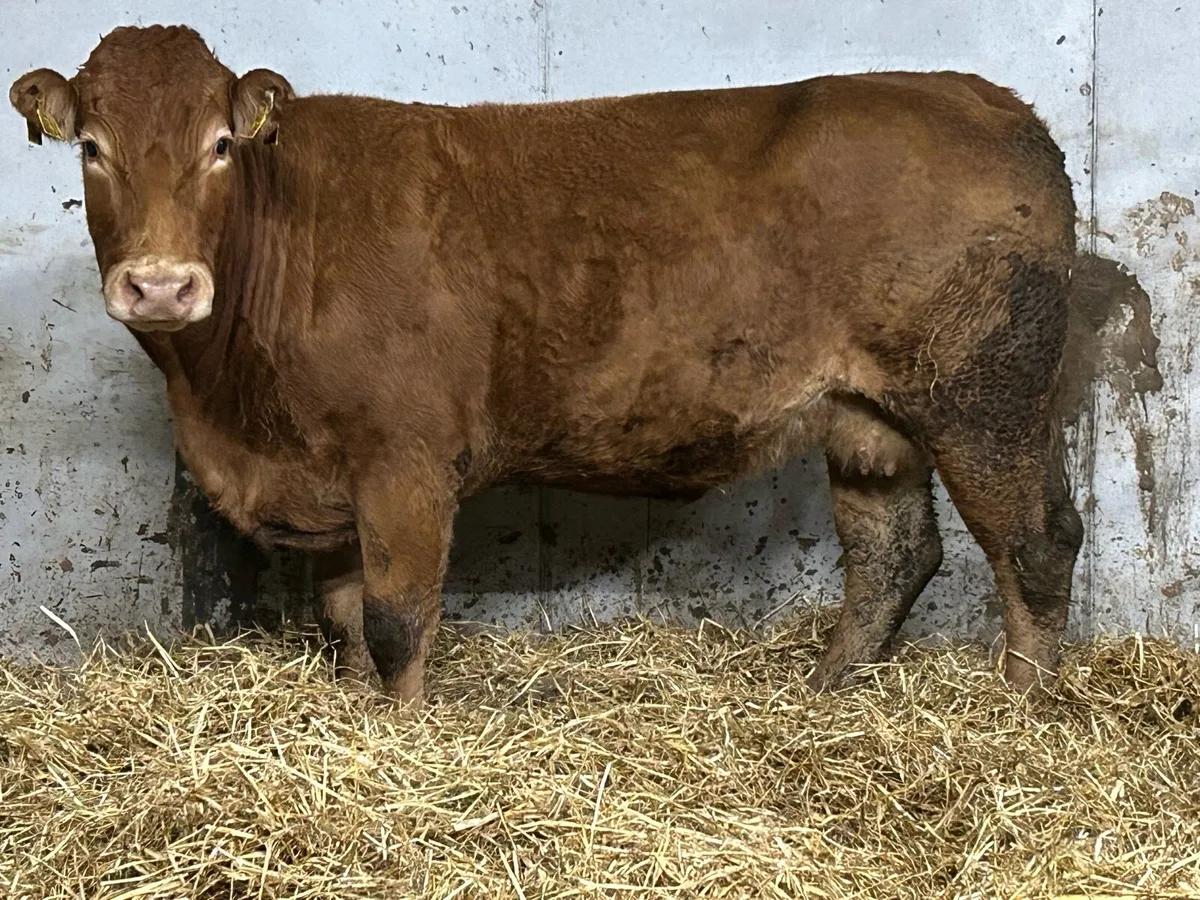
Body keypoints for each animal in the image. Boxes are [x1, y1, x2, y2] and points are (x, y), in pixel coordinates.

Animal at [11, 25, 1083, 708]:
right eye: (92, 147)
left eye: (222, 144)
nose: (160, 285)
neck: (226, 405)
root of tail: (984, 98)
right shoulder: (328, 477)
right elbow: (346, 619)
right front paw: (354, 723)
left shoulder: (403, 463)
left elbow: (399, 621)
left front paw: (402, 741)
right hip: (872, 413)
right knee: (896, 554)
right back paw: (825, 693)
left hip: (986, 397)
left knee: (1035, 544)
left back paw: (1016, 716)